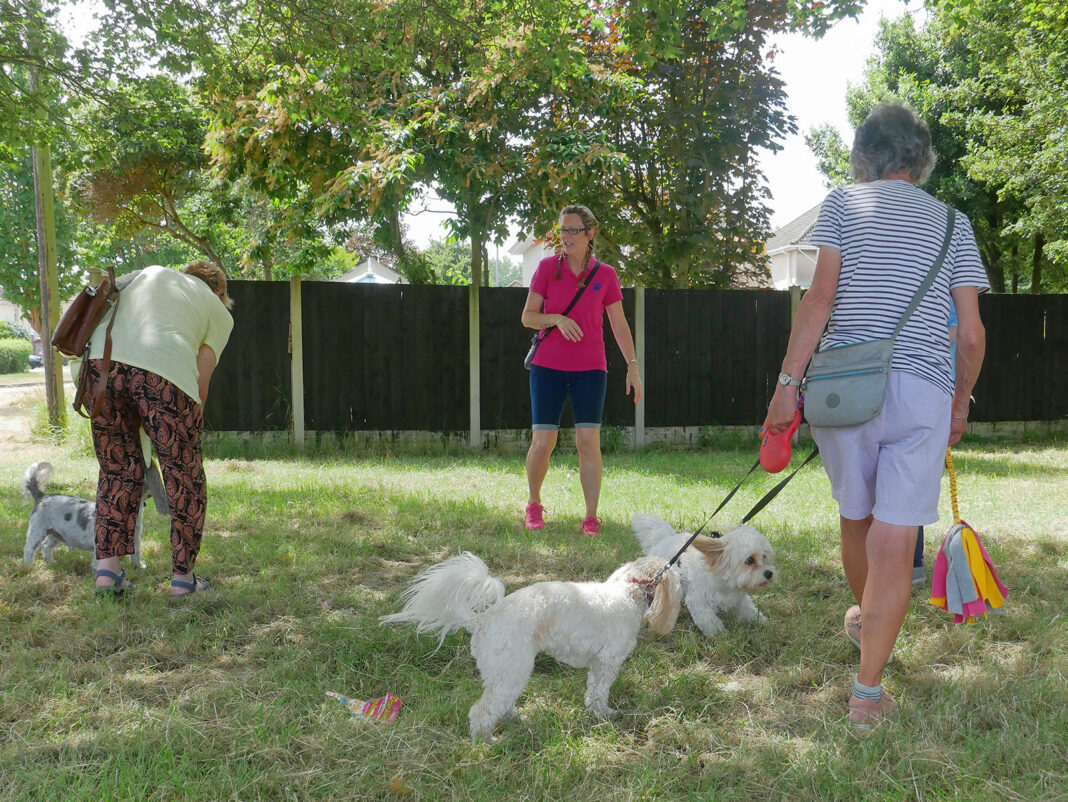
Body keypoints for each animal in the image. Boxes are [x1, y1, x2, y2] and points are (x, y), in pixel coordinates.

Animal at [21, 457, 168, 572]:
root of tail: (42, 496)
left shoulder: (135, 540)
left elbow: (136, 554)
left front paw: (139, 566)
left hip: (54, 535)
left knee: (46, 547)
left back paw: (51, 562)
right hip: (37, 531)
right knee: (29, 549)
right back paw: (29, 566)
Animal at [380, 555, 679, 743]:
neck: (630, 592)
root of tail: (482, 619)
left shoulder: (598, 665)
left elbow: (593, 690)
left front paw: (596, 712)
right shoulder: (608, 662)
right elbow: (599, 692)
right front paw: (604, 714)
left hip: (504, 672)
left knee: (499, 703)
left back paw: (513, 720)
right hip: (512, 668)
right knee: (482, 711)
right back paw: (486, 741)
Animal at [632, 514, 777, 640]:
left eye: (764, 556)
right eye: (749, 560)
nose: (769, 573)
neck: (723, 583)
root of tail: (664, 539)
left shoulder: (739, 599)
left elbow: (749, 610)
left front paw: (762, 622)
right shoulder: (699, 601)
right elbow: (710, 621)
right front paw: (720, 635)